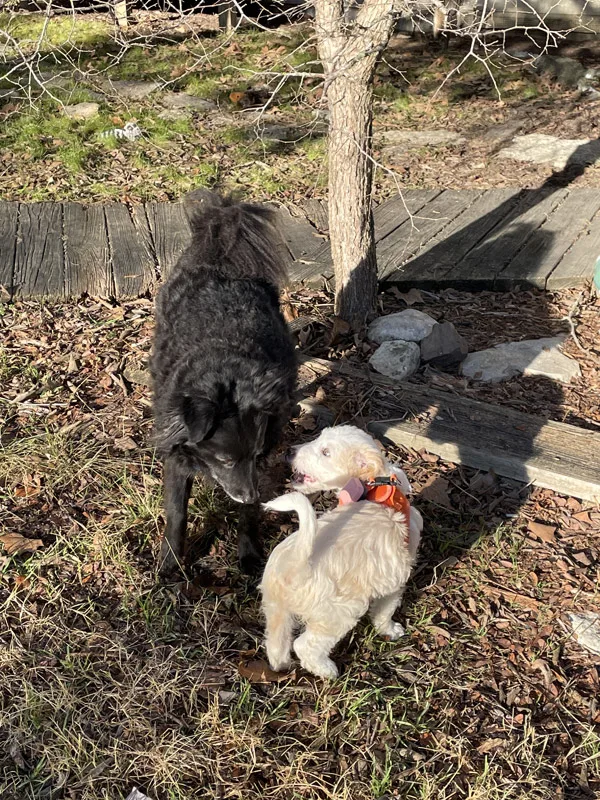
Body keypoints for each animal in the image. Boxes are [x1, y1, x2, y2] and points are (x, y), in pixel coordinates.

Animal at [151, 190, 296, 572]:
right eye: (226, 460)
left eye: (256, 454)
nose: (249, 493)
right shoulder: (177, 457)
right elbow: (176, 514)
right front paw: (171, 565)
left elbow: (248, 514)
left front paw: (248, 554)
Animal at [258, 428, 422, 680]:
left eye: (325, 451)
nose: (289, 451)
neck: (374, 488)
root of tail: (297, 563)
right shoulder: (394, 581)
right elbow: (385, 611)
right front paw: (390, 630)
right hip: (339, 613)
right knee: (305, 646)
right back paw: (328, 670)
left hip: (275, 608)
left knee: (276, 644)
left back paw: (281, 667)